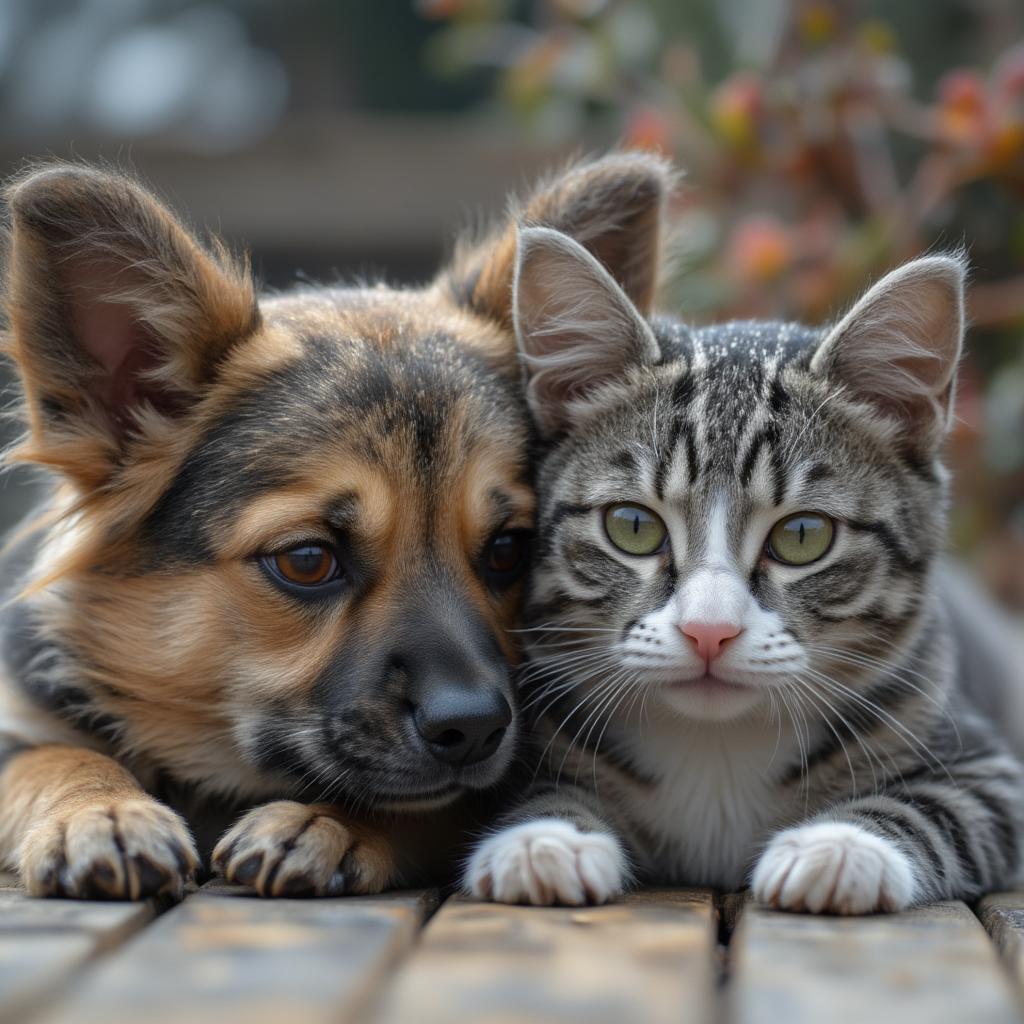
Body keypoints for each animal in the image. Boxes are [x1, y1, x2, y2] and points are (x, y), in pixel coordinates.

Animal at [0, 149, 671, 897]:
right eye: (307, 560)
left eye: (509, 549)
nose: (473, 728)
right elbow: (45, 757)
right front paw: (101, 810)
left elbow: (421, 805)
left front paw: (325, 821)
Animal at [466, 224, 1024, 913]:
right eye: (632, 526)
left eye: (804, 536)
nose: (710, 631)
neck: (718, 750)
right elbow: (540, 788)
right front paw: (545, 837)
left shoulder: (988, 766)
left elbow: (941, 806)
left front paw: (840, 847)